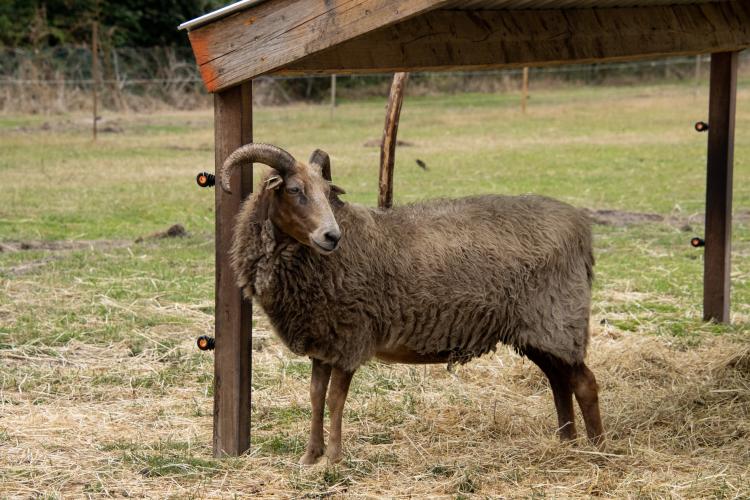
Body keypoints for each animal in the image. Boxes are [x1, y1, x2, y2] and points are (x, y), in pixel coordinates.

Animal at [222, 142, 604, 464]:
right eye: (294, 190)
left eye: (329, 193)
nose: (331, 236)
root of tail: (581, 228)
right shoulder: (324, 340)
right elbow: (315, 397)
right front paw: (309, 457)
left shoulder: (350, 338)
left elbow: (334, 400)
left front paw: (332, 459)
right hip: (538, 331)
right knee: (559, 381)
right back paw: (567, 443)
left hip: (557, 319)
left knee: (584, 383)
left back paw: (598, 450)